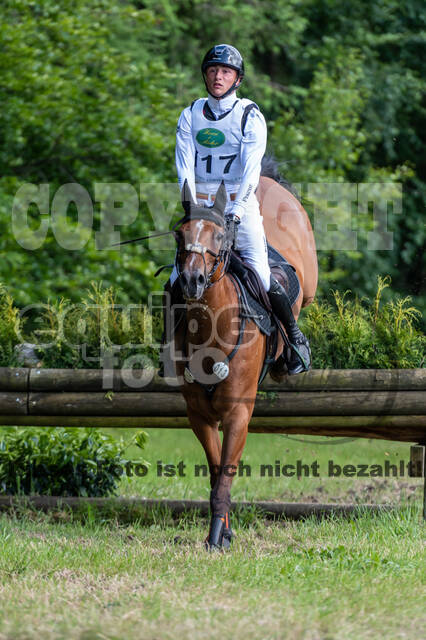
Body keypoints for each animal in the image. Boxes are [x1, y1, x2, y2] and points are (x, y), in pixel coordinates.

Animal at [167, 170, 317, 550]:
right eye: (179, 234)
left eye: (220, 236)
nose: (192, 281)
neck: (213, 327)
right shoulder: (200, 415)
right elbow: (216, 471)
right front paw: (224, 531)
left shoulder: (238, 413)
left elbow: (225, 475)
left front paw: (215, 539)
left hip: (307, 280)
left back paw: (295, 351)